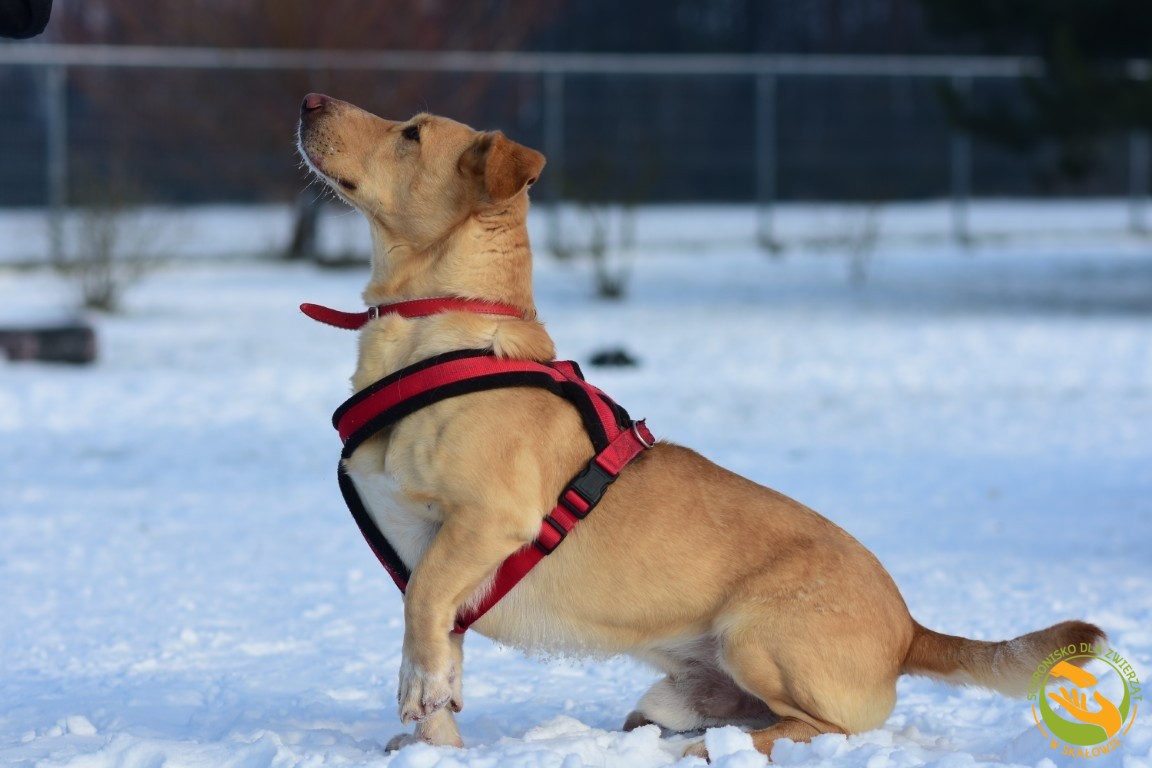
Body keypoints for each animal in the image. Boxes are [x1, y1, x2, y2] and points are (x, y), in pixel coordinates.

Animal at [295, 92, 1104, 760]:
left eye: (411, 133)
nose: (307, 99)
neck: (438, 331)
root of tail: (910, 631)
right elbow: (441, 646)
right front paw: (434, 741)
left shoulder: (489, 520)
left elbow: (423, 607)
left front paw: (418, 691)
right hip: (669, 696)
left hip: (756, 637)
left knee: (817, 731)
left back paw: (726, 749)